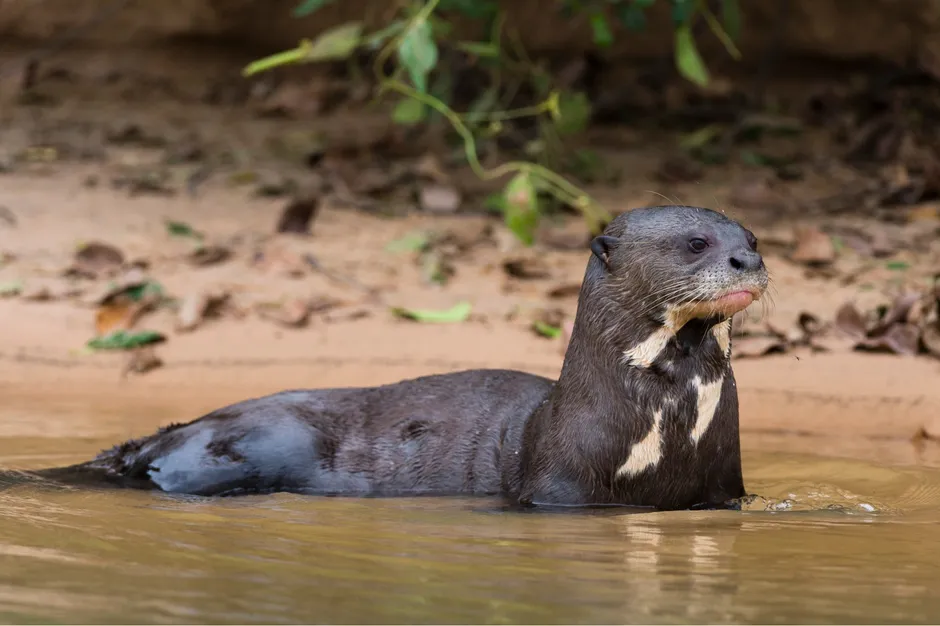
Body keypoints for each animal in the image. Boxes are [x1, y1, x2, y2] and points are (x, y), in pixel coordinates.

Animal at [32, 205, 768, 510]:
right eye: (697, 243)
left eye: (753, 237)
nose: (749, 260)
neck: (665, 429)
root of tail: (164, 435)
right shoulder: (558, 489)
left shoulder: (723, 488)